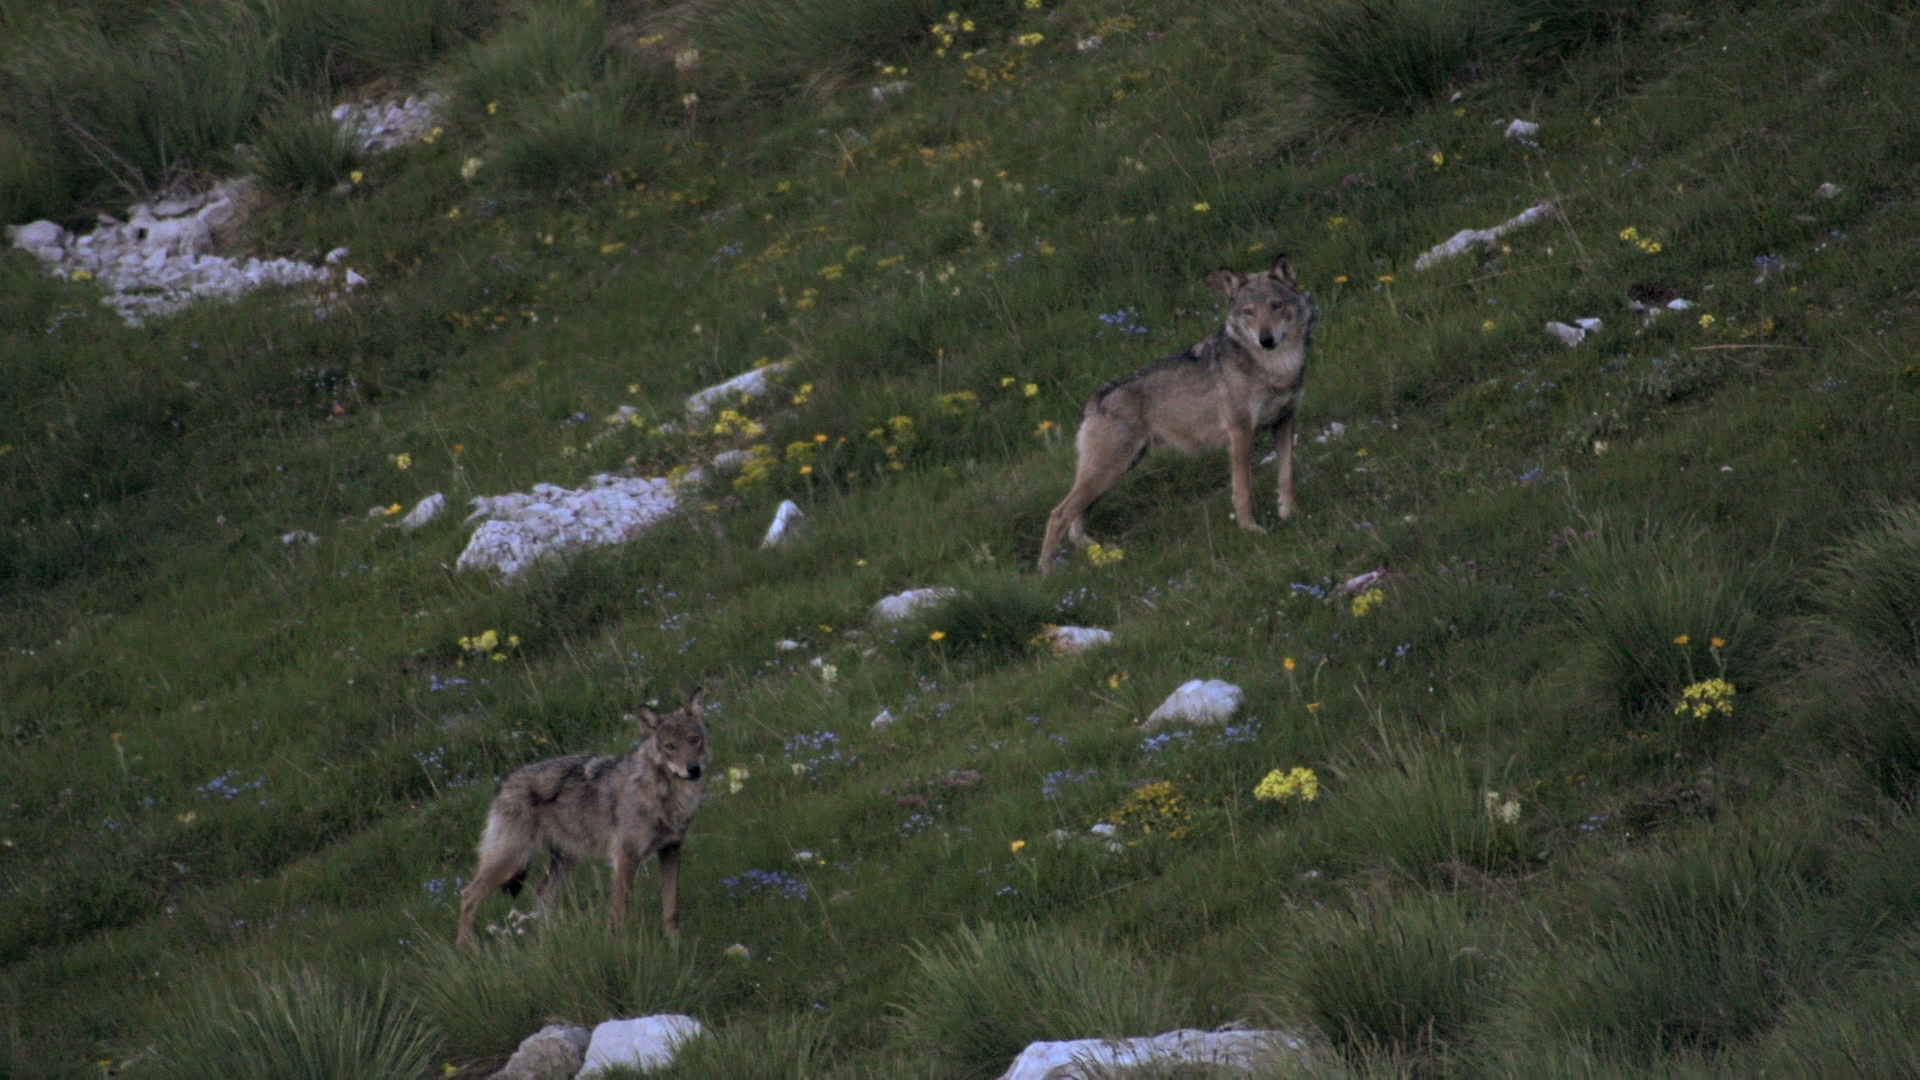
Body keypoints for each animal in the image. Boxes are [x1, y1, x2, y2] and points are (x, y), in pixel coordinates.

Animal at [456, 687, 714, 941]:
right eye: (670, 747)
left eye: (695, 740)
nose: (693, 769)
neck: (667, 796)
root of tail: (505, 783)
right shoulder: (626, 858)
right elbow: (620, 911)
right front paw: (620, 944)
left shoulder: (671, 850)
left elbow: (672, 908)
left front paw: (675, 944)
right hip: (513, 861)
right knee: (468, 895)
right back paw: (469, 948)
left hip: (565, 861)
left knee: (541, 895)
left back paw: (553, 936)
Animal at [1044, 253, 1313, 572]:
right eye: (1249, 312)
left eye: (1276, 305)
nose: (1266, 340)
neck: (1277, 367)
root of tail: (1097, 398)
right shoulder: (1240, 432)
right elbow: (1244, 490)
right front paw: (1251, 529)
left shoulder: (1285, 422)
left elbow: (1287, 476)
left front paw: (1291, 515)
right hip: (1107, 472)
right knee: (1058, 515)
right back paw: (1047, 573)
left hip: (1115, 471)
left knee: (1075, 519)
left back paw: (1095, 551)